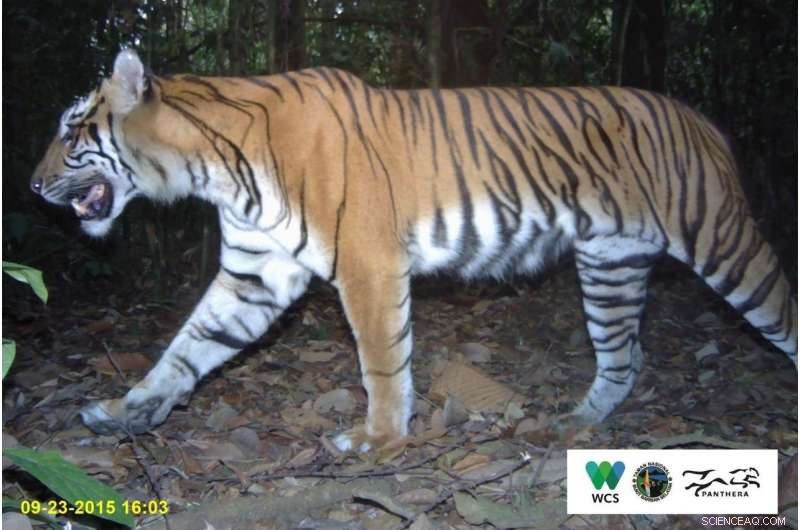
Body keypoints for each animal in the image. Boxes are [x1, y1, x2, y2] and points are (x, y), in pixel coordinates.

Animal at [31, 49, 796, 451]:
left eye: (71, 131)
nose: (34, 185)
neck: (210, 167)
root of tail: (704, 121)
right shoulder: (255, 274)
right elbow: (187, 347)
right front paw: (126, 410)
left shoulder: (367, 264)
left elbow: (382, 361)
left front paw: (377, 441)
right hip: (610, 264)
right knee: (624, 356)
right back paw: (575, 425)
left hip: (722, 241)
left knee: (778, 310)